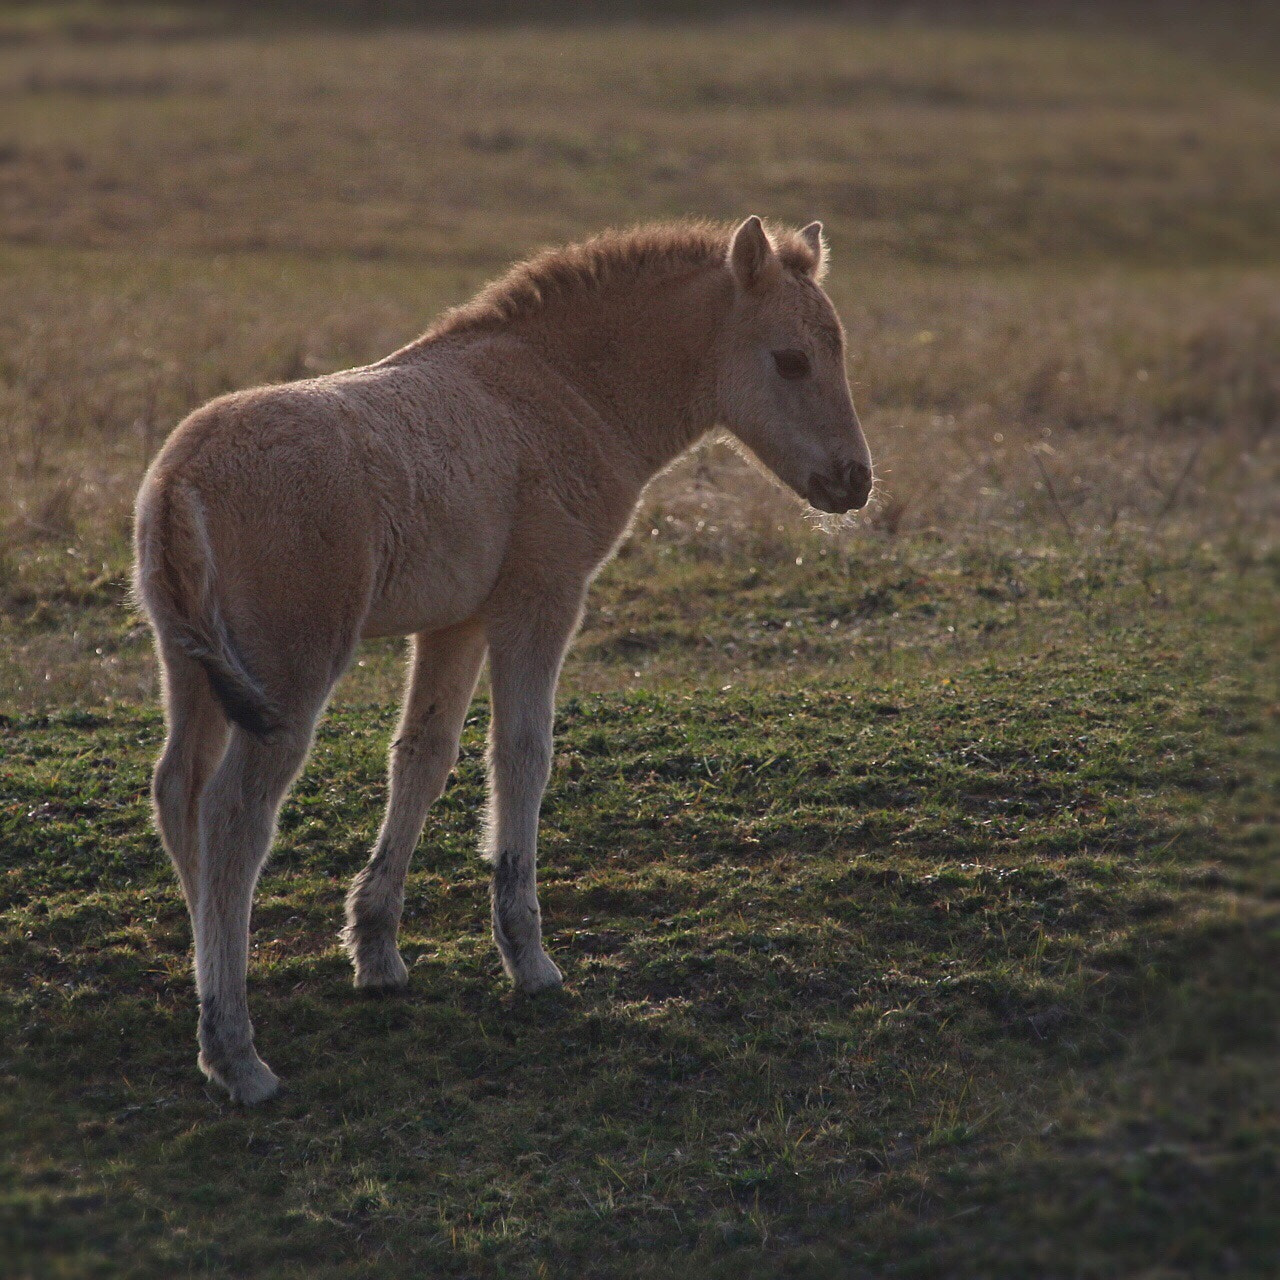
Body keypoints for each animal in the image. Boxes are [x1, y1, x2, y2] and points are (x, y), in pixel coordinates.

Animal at [135, 217, 875, 1100]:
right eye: (791, 360)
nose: (855, 481)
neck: (566, 389)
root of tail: (181, 479)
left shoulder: (455, 623)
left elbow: (421, 757)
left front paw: (376, 949)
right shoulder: (540, 599)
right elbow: (522, 754)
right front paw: (528, 958)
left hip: (193, 672)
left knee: (178, 794)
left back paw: (210, 979)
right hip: (289, 674)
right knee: (233, 817)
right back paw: (234, 1049)